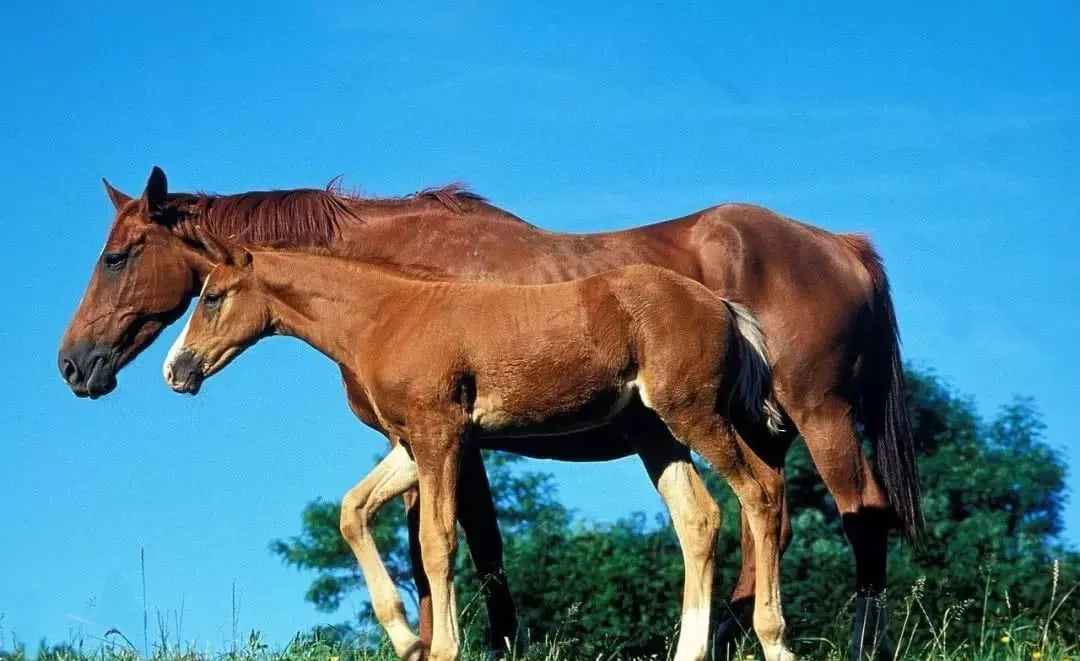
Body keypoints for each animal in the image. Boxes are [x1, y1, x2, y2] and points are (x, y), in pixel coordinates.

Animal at [166, 241, 794, 661]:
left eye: (214, 297)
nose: (176, 370)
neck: (390, 316)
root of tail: (721, 304)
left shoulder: (439, 435)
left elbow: (437, 542)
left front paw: (442, 649)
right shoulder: (412, 444)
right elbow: (353, 512)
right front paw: (405, 640)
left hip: (693, 414)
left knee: (760, 493)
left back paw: (775, 639)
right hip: (653, 433)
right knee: (699, 519)